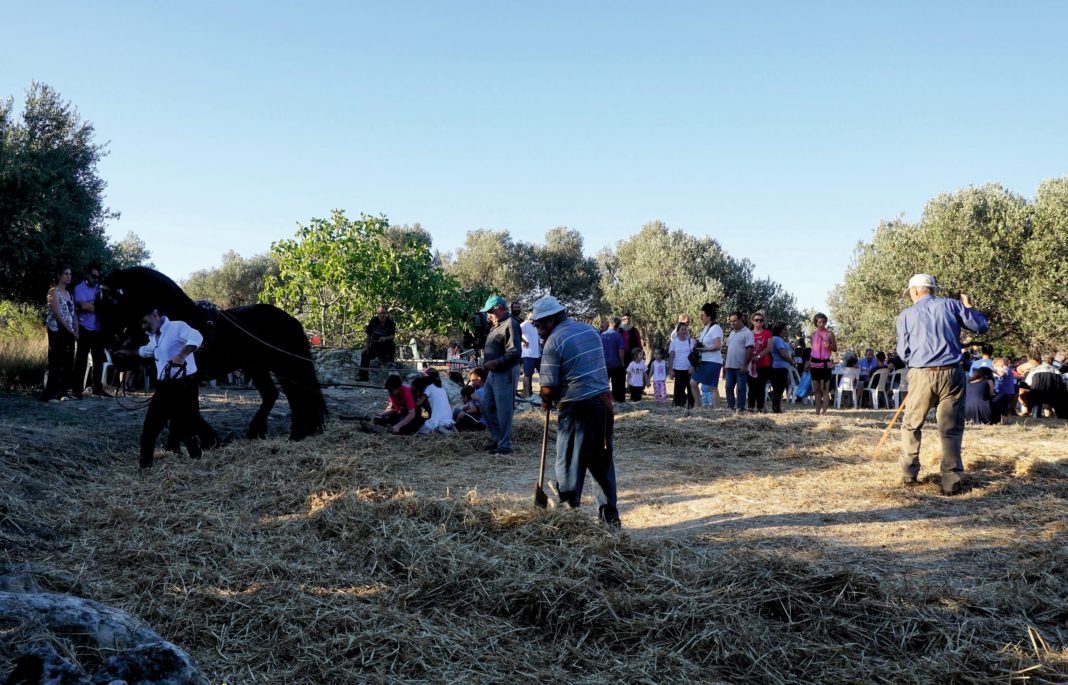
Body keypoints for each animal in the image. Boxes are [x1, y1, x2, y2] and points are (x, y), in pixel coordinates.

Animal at [98, 265, 326, 440]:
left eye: (109, 297)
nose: (107, 339)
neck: (180, 317)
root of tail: (290, 319)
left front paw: (210, 439)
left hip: (283, 365)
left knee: (295, 396)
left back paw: (296, 434)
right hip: (258, 367)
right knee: (276, 395)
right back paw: (264, 432)